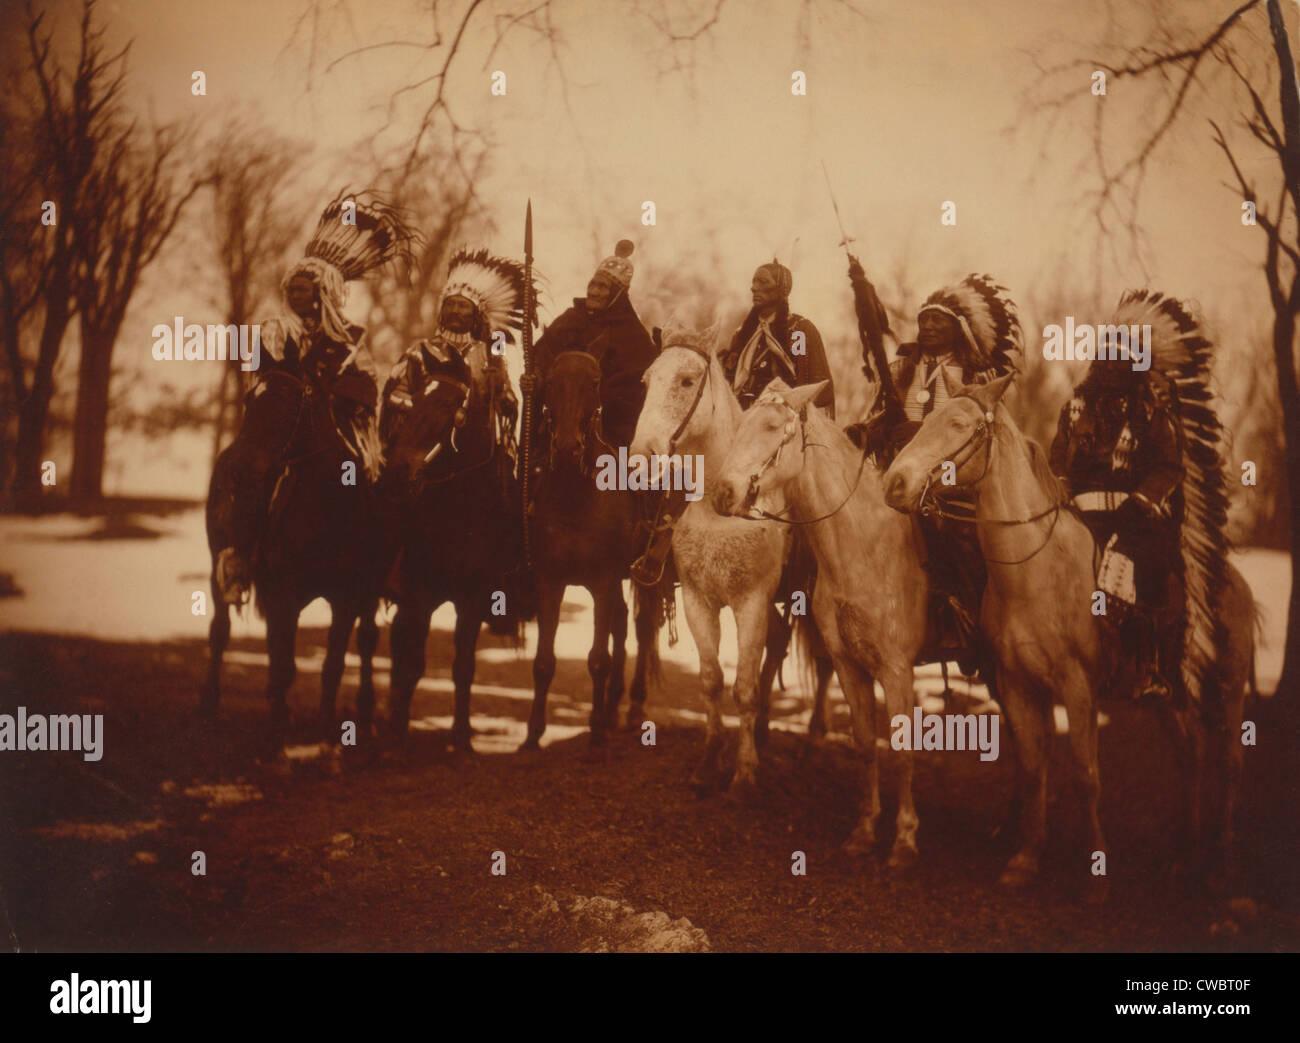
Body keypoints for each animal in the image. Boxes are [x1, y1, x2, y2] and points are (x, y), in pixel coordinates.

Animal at [200, 366, 384, 738]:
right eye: (249, 400)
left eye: (289, 403)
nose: (235, 468)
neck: (330, 509)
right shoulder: (285, 592)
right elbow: (284, 658)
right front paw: (280, 719)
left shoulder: (346, 597)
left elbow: (332, 662)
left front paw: (324, 724)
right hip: (220, 567)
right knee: (220, 630)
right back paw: (211, 702)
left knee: (363, 639)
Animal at [382, 348, 530, 749]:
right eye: (413, 399)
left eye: (449, 404)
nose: (398, 470)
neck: (458, 510)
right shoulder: (419, 593)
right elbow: (413, 662)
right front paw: (397, 732)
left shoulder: (473, 597)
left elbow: (463, 665)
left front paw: (461, 736)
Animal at [520, 351, 660, 749]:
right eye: (551, 381)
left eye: (594, 383)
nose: (568, 448)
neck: (576, 500)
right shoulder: (550, 582)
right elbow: (544, 661)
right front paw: (533, 734)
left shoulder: (602, 582)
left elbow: (598, 658)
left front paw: (596, 732)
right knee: (622, 624)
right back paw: (613, 707)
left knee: (644, 627)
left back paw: (632, 708)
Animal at [626, 321, 832, 801]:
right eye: (646, 381)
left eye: (687, 381)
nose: (641, 457)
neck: (719, 511)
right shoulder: (698, 601)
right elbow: (712, 680)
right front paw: (708, 763)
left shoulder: (751, 602)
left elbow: (743, 688)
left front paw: (744, 773)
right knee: (778, 648)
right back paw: (766, 730)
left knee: (824, 662)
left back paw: (813, 740)